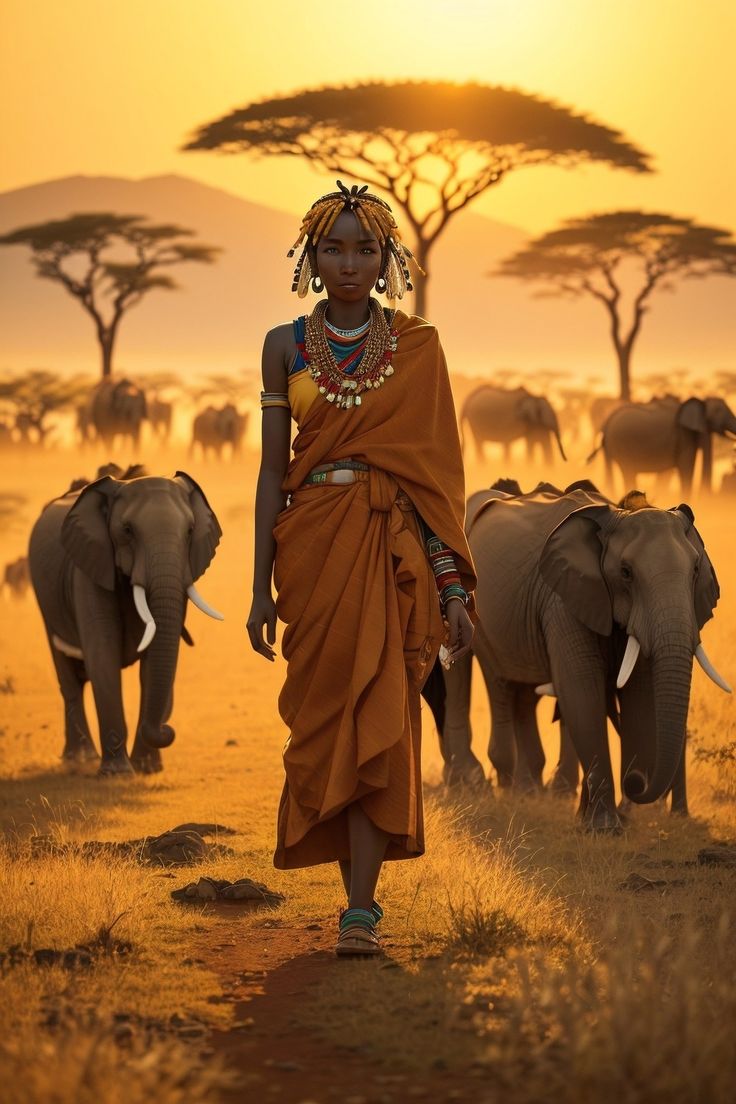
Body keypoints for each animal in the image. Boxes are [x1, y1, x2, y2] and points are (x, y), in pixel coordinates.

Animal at [28, 470, 221, 772]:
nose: (167, 730)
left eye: (190, 531)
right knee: (69, 680)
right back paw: (80, 759)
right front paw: (117, 773)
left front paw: (147, 768)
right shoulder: (88, 568)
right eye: (128, 530)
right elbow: (103, 654)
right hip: (45, 603)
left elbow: (154, 661)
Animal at [441, 481, 728, 830]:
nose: (636, 781)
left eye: (696, 570)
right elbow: (581, 686)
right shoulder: (563, 595)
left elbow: (637, 693)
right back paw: (476, 782)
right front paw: (604, 827)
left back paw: (524, 788)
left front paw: (600, 819)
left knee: (521, 691)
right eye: (626, 572)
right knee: (485, 678)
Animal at [591, 397, 736, 496]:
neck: (701, 402)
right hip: (621, 443)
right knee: (628, 472)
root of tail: (608, 421)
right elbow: (686, 467)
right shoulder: (684, 434)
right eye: (718, 411)